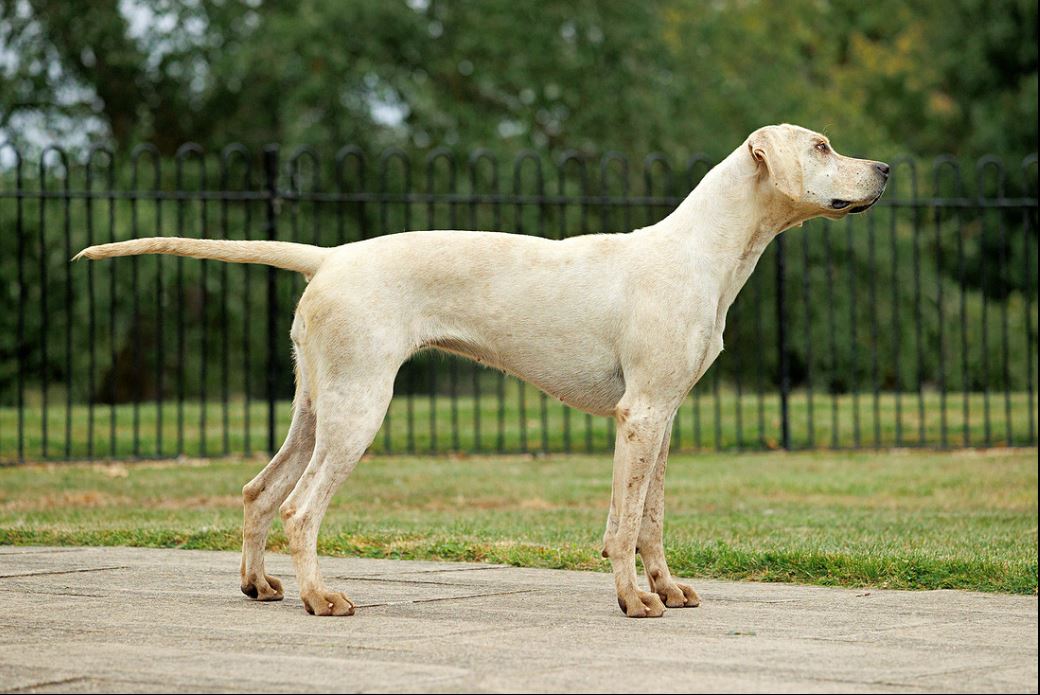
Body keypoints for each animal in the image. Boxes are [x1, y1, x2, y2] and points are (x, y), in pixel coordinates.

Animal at [75, 124, 888, 618]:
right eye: (822, 145)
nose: (885, 167)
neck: (702, 252)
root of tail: (330, 257)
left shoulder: (663, 418)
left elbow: (651, 521)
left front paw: (665, 587)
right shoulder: (640, 416)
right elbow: (624, 526)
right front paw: (633, 600)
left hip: (317, 406)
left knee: (258, 491)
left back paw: (260, 584)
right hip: (358, 408)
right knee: (301, 509)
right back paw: (322, 598)